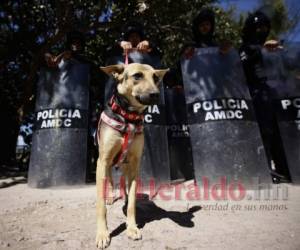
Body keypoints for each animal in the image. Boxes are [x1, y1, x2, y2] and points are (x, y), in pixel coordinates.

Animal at [96, 63, 168, 248]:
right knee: (110, 181)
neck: (128, 118)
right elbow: (101, 205)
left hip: (126, 166)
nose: (156, 94)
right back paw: (111, 197)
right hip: (107, 165)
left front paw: (132, 228)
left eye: (155, 78)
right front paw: (102, 234)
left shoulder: (135, 164)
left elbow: (132, 203)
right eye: (137, 76)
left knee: (124, 185)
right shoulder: (102, 161)